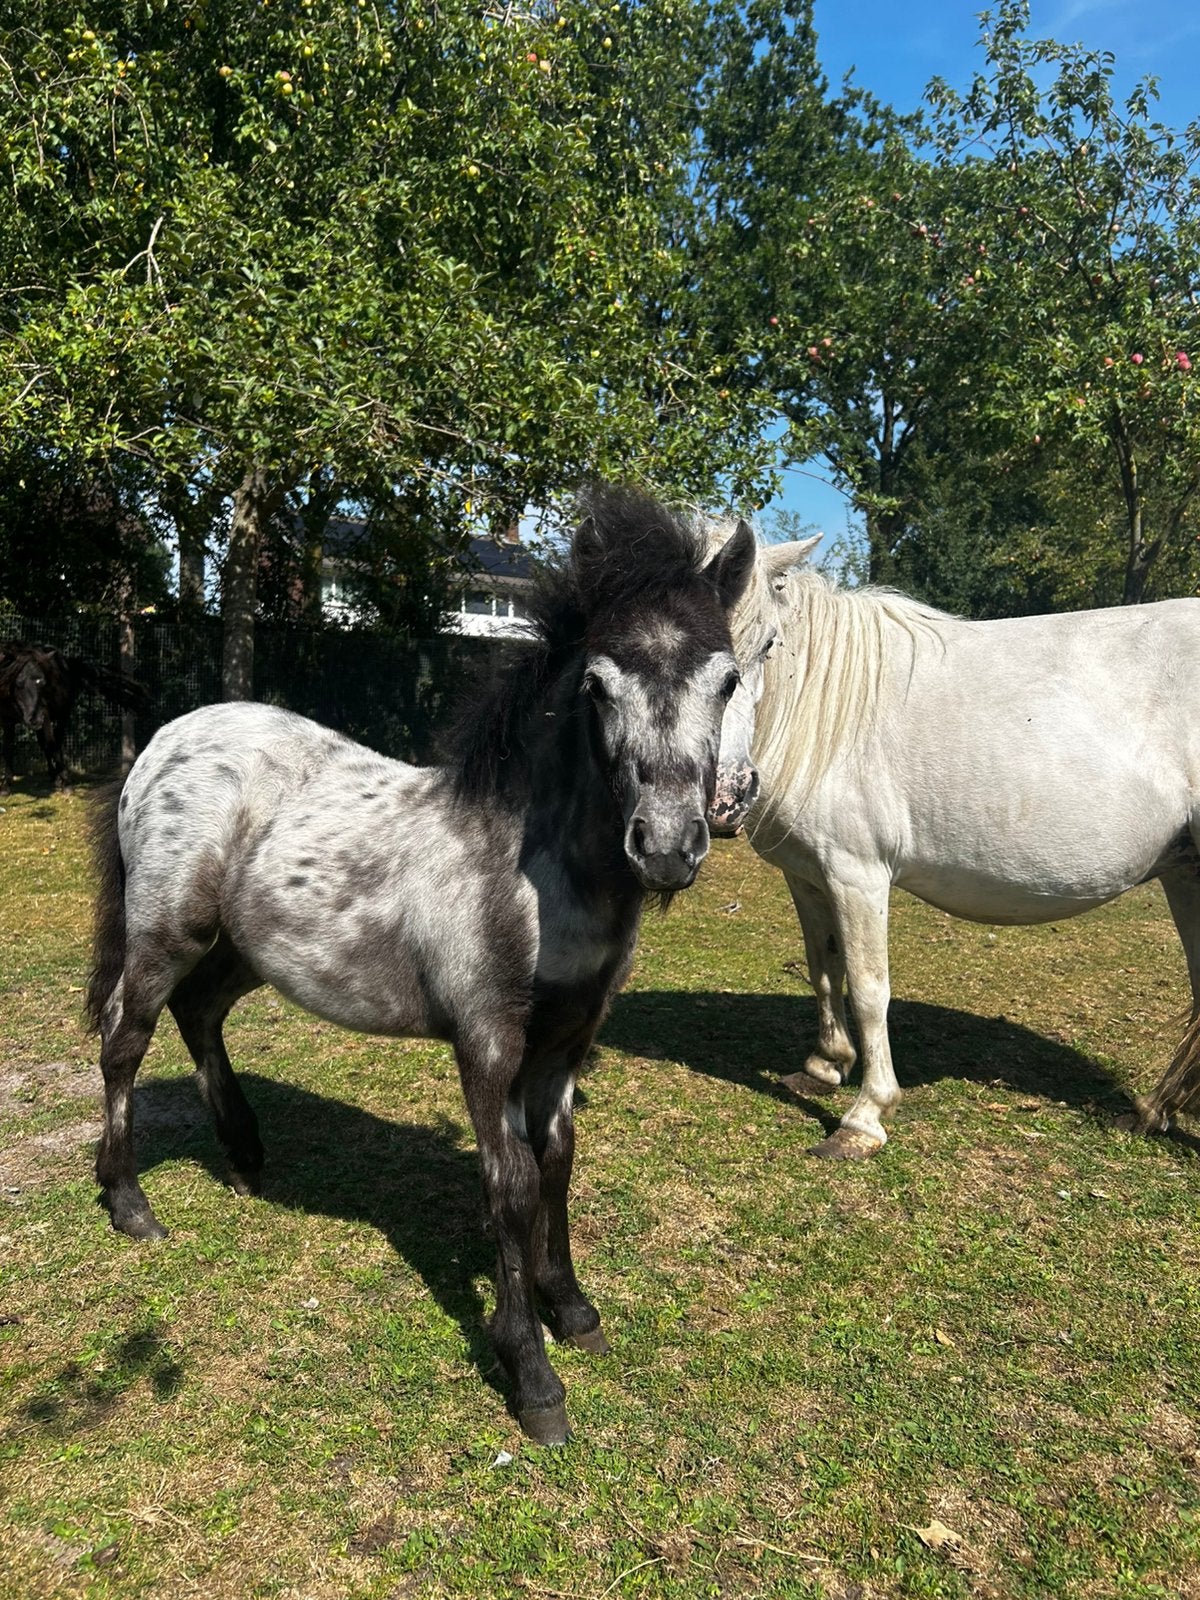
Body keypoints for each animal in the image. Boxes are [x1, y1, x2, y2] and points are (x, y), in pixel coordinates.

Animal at [0, 639, 147, 792]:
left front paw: (66, 783)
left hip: (62, 715)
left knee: (55, 743)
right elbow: (7, 748)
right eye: (18, 683)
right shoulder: (7, 719)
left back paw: (60, 777)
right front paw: (6, 785)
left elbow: (52, 745)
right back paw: (53, 776)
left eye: (43, 682)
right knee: (45, 745)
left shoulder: (46, 716)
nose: (35, 719)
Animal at [86, 488, 757, 1445]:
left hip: (246, 948)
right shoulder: (487, 1041)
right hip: (163, 933)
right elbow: (510, 1183)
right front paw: (532, 1374)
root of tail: (161, 738)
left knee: (200, 1012)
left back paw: (245, 1155)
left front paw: (572, 1307)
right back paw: (131, 1203)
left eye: (727, 679)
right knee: (124, 1039)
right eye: (597, 684)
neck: (528, 866)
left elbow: (559, 1159)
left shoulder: (566, 1042)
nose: (667, 846)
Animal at [721, 538, 1200, 1158]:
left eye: (767, 644)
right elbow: (824, 968)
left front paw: (865, 1117)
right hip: (1186, 873)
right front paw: (825, 1067)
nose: (725, 794)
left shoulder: (857, 875)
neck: (820, 705)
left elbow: (869, 987)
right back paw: (1152, 1111)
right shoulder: (806, 876)